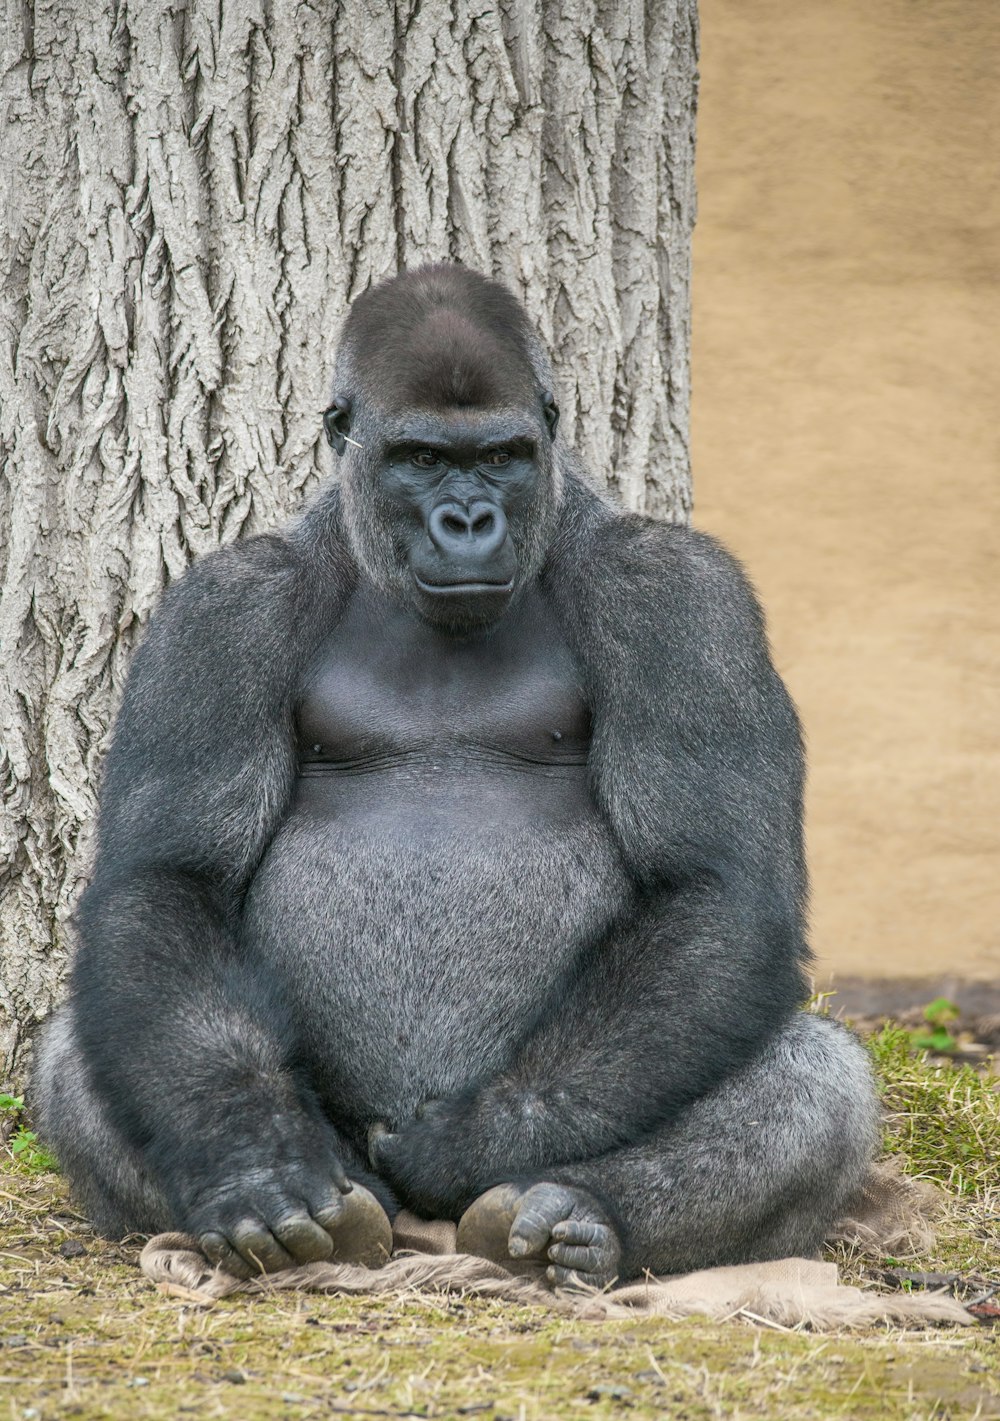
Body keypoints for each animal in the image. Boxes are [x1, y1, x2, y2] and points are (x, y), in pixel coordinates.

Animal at [33, 264, 875, 1290]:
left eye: (504, 456)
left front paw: (471, 1142)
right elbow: (169, 879)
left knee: (820, 1077)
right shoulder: (222, 608)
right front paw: (256, 1160)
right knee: (77, 1048)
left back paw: (578, 1213)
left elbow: (716, 882)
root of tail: (420, 1231)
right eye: (423, 459)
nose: (468, 520)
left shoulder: (677, 590)